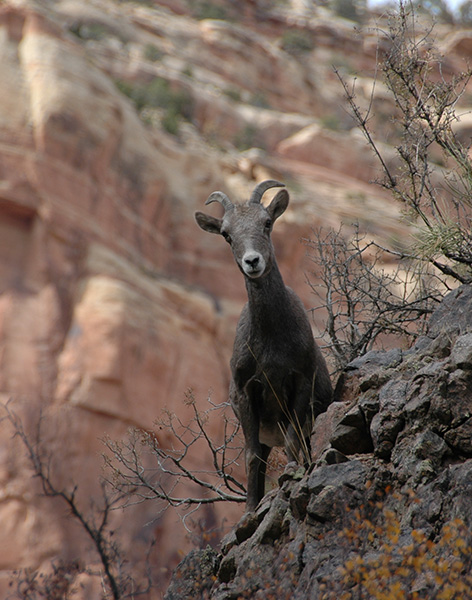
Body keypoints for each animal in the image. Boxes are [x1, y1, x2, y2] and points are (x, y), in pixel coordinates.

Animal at [195, 179, 332, 510]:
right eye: (226, 234)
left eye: (267, 222)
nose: (252, 261)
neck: (271, 343)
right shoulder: (248, 394)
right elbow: (252, 457)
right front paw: (249, 511)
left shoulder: (299, 383)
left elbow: (294, 442)